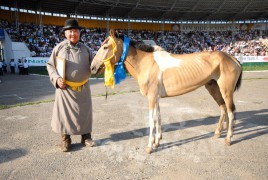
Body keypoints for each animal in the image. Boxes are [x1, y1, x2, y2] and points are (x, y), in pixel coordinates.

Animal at [90, 29, 243, 153]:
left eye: (105, 47)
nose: (92, 67)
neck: (146, 63)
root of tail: (233, 58)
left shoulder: (151, 97)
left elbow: (151, 120)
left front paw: (149, 147)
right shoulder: (156, 97)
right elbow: (158, 117)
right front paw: (157, 142)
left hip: (226, 91)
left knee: (231, 111)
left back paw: (228, 139)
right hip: (213, 88)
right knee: (223, 108)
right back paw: (218, 133)